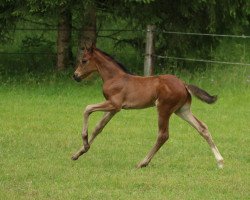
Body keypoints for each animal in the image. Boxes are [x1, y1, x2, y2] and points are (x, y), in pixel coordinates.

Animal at [71, 47, 224, 169]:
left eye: (84, 60)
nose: (75, 76)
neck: (114, 78)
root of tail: (184, 84)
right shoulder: (114, 109)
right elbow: (98, 127)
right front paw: (79, 153)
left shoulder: (114, 104)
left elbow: (87, 108)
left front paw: (85, 142)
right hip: (182, 110)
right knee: (202, 128)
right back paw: (220, 162)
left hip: (163, 109)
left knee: (163, 135)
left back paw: (142, 163)